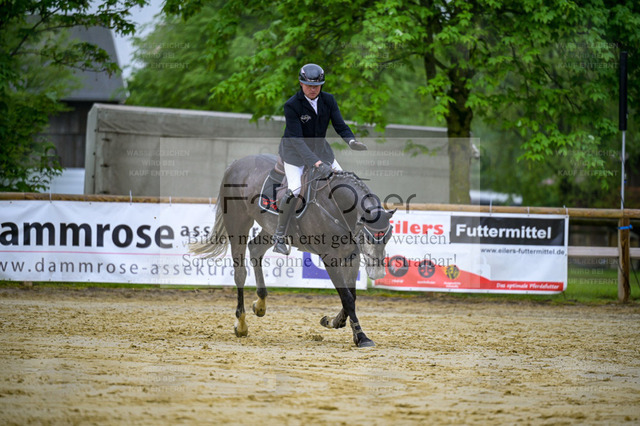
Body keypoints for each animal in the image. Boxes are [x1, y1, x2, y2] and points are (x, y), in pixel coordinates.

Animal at [190, 154, 395, 347]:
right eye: (367, 237)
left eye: (388, 236)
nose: (378, 273)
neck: (337, 207)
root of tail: (235, 164)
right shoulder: (330, 257)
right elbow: (347, 298)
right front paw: (361, 336)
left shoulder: (352, 256)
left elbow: (352, 296)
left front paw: (334, 322)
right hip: (238, 224)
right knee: (240, 272)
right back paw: (241, 324)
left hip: (270, 228)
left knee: (255, 249)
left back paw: (260, 304)